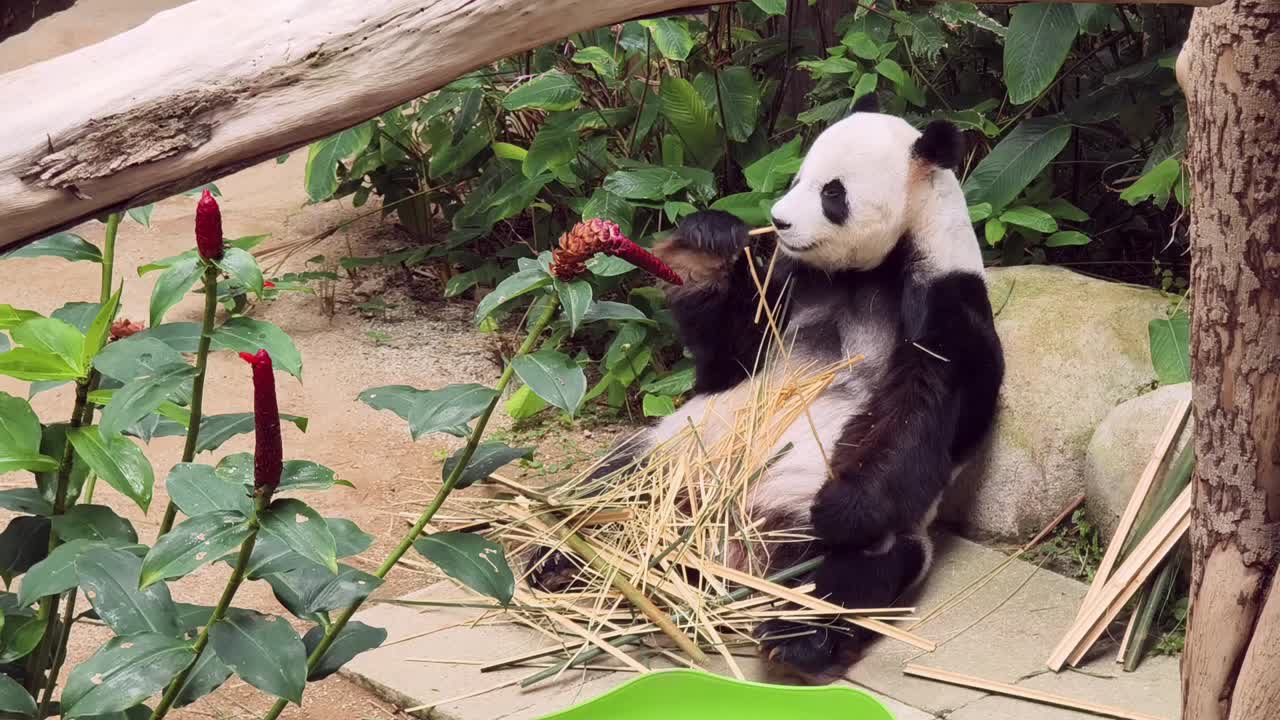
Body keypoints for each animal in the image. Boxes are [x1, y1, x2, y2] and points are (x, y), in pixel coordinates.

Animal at [532, 95, 1004, 678]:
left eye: (832, 193)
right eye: (798, 176)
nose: (778, 220)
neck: (870, 270)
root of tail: (725, 549)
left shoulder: (946, 298)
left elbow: (924, 411)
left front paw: (844, 505)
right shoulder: (790, 286)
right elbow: (731, 359)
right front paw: (709, 243)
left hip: (826, 525)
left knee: (851, 572)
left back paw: (796, 637)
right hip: (674, 449)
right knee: (610, 482)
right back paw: (558, 554)